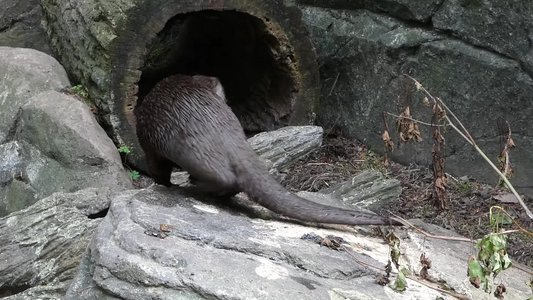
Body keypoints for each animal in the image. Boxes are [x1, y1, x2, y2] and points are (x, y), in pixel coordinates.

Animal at [135, 74, 396, 225]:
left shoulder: (149, 145)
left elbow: (157, 170)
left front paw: (165, 185)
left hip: (187, 149)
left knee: (223, 178)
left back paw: (196, 184)